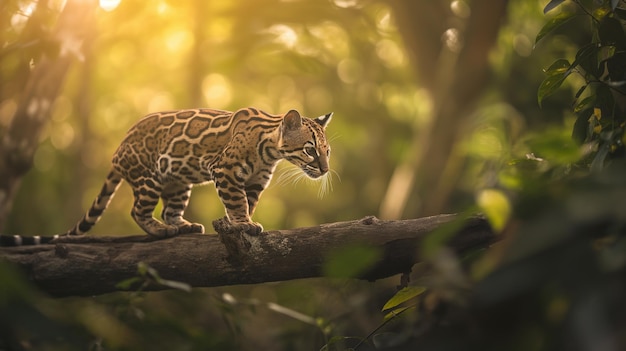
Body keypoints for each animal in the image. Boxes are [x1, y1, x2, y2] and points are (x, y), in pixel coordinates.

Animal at [1, 108, 332, 248]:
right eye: (310, 149)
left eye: (327, 151)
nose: (326, 169)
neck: (270, 151)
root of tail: (117, 152)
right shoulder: (224, 170)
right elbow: (237, 202)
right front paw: (243, 223)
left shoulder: (255, 182)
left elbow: (247, 202)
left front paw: (242, 221)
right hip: (149, 179)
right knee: (139, 211)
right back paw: (159, 230)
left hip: (178, 183)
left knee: (169, 211)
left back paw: (184, 225)